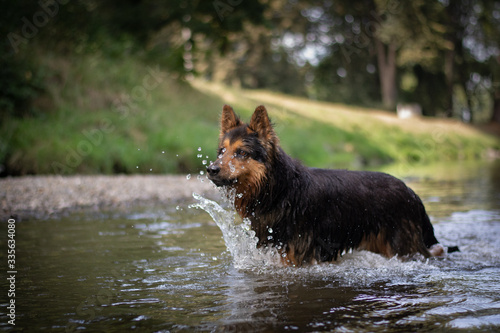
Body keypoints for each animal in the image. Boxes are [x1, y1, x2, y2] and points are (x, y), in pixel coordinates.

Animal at [205, 105, 456, 266]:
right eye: (222, 152)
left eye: (241, 153)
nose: (211, 169)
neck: (279, 189)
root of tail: (411, 192)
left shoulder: (295, 257)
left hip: (404, 247)